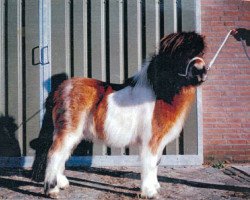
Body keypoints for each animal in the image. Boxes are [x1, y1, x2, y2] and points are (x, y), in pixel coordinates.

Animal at [44, 31, 206, 198]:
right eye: (183, 53)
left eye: (201, 53)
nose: (201, 71)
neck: (160, 92)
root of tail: (62, 89)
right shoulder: (150, 141)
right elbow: (149, 164)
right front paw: (149, 191)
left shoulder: (158, 142)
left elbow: (155, 163)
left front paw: (155, 186)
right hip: (69, 132)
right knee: (54, 155)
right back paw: (52, 189)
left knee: (62, 155)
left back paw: (61, 183)